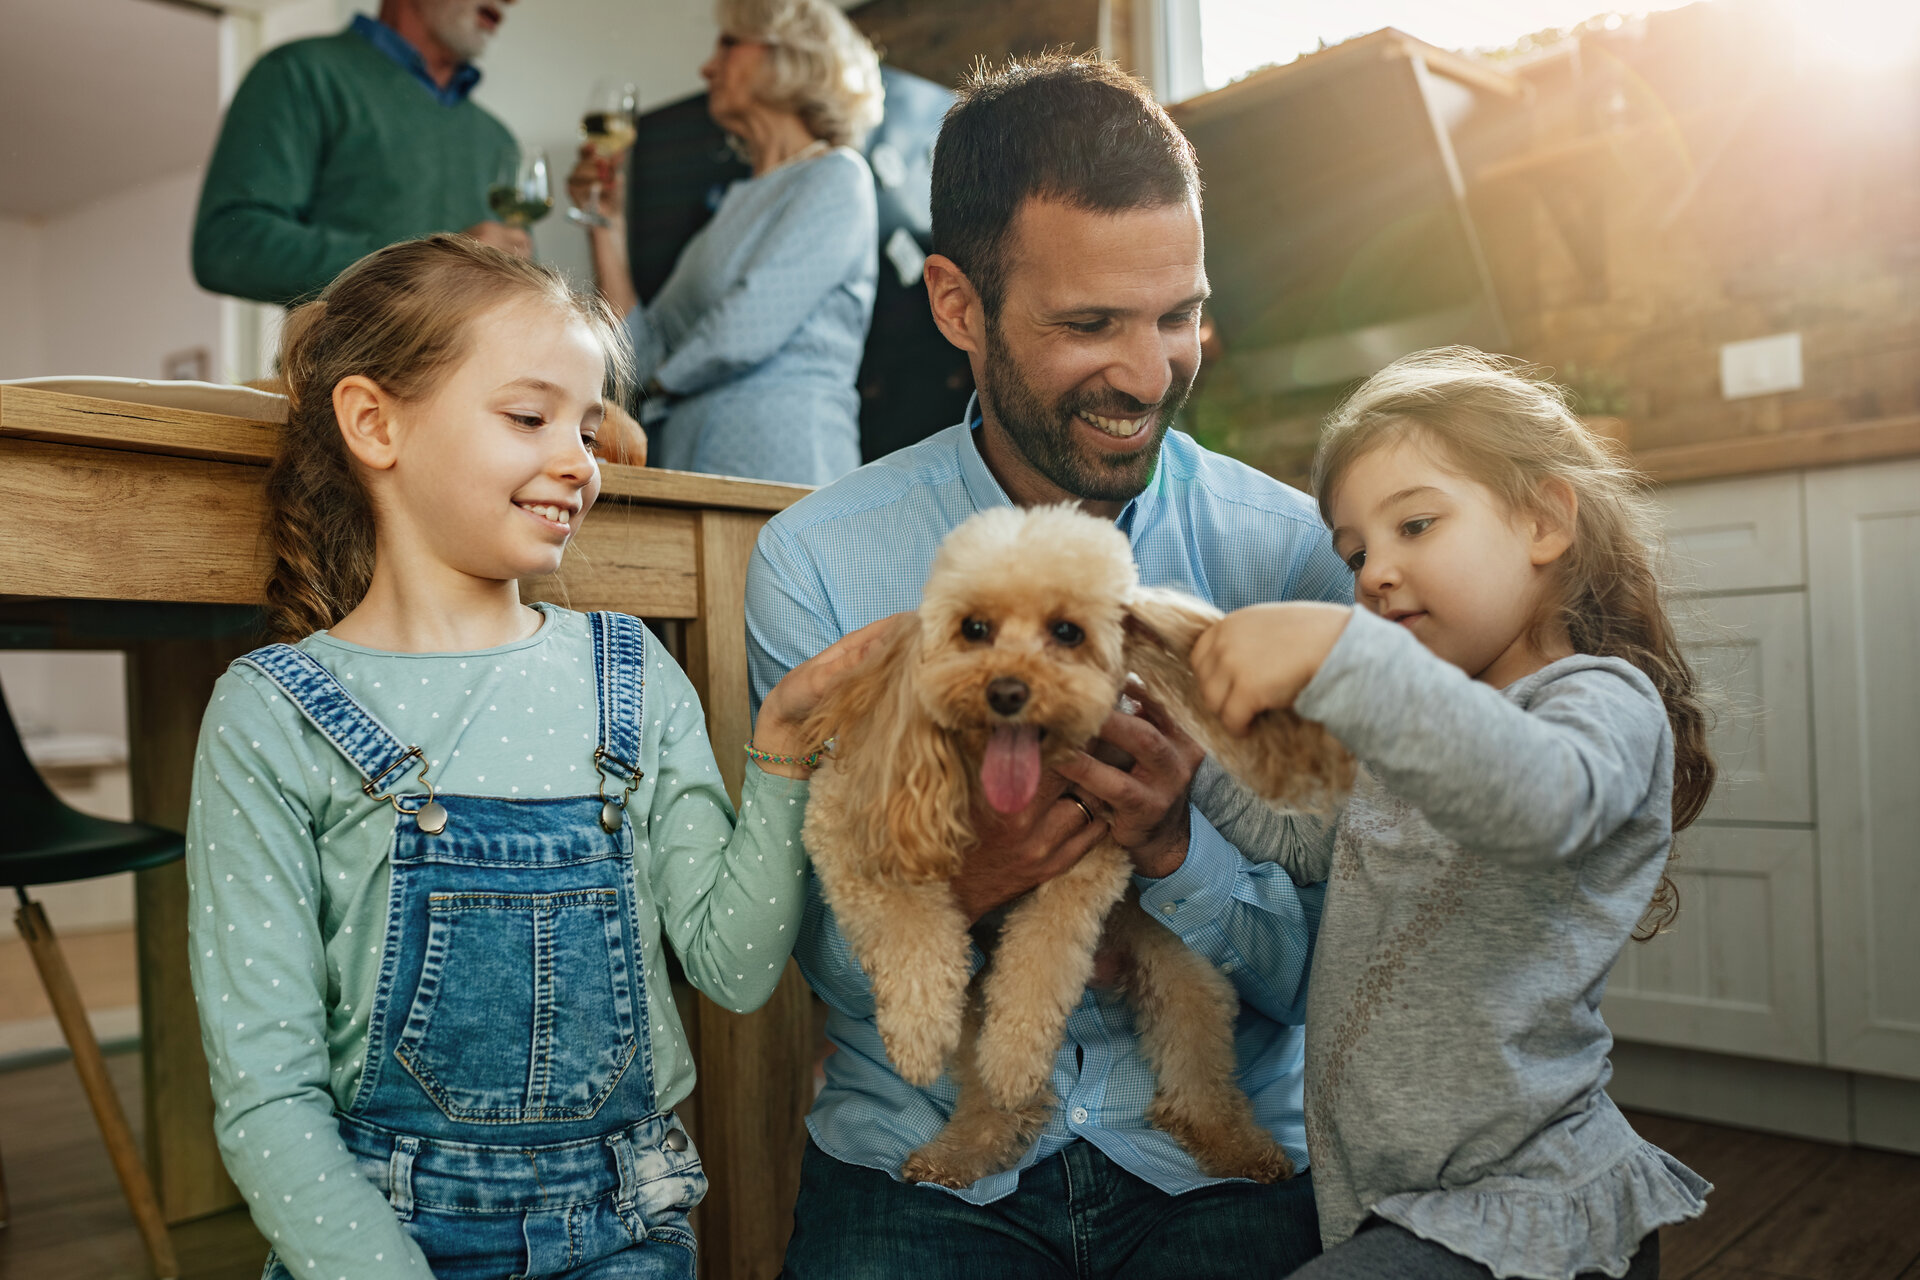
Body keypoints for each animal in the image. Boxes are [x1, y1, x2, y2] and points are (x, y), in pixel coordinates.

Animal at [794, 498, 1351, 1189]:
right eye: (973, 628)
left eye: (1067, 632)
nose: (1007, 690)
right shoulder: (846, 828)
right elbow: (909, 931)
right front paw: (919, 1037)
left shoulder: (1089, 862)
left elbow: (1041, 960)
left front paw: (1013, 1057)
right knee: (986, 1090)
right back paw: (963, 1149)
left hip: (1178, 963)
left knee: (1195, 1059)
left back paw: (1237, 1146)